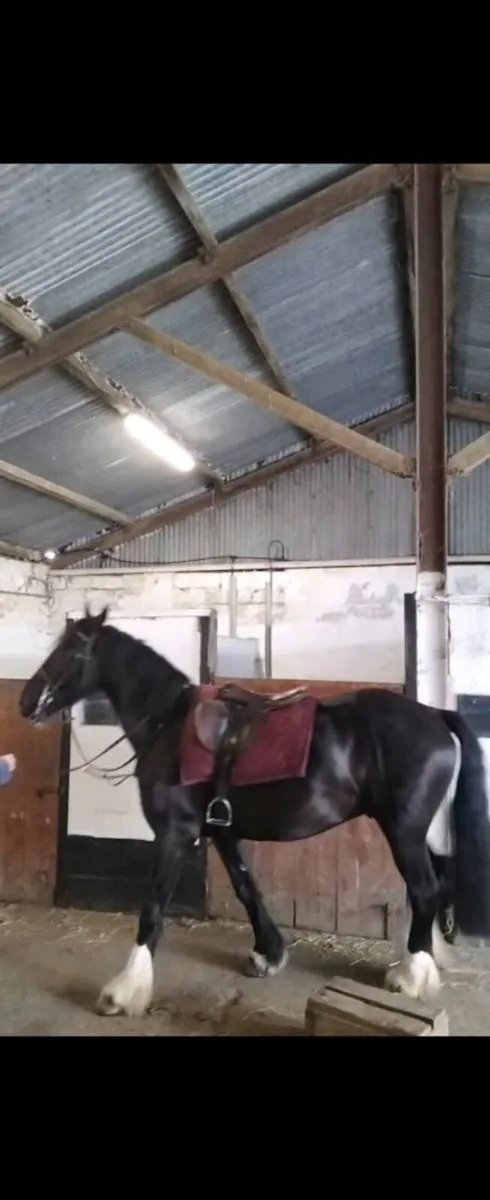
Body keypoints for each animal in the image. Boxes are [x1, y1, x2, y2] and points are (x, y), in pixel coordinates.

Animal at [19, 603, 490, 1019]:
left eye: (70, 652)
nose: (26, 701)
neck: (169, 724)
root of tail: (435, 715)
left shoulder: (174, 834)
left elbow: (152, 910)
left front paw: (122, 992)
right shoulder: (222, 831)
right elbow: (247, 887)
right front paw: (269, 953)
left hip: (403, 830)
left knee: (425, 890)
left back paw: (411, 978)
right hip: (416, 831)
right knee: (433, 884)